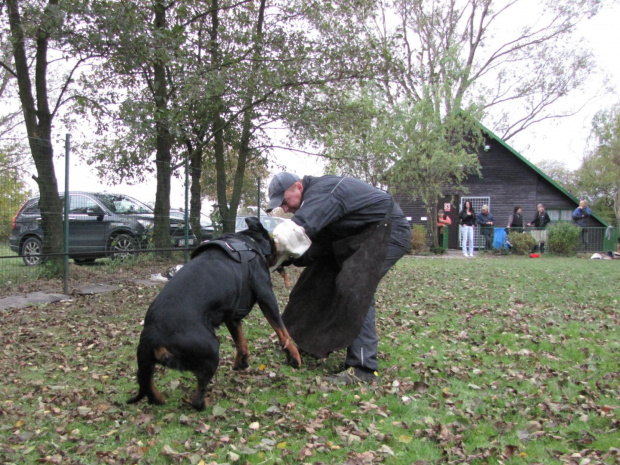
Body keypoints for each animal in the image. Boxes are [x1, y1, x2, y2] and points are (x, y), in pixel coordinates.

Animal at [127, 216, 302, 408]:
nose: (290, 261)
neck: (250, 242)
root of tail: (154, 337)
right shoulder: (266, 295)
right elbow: (282, 330)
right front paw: (294, 355)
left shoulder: (233, 316)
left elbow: (241, 342)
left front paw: (241, 362)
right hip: (212, 348)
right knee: (196, 399)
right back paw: (207, 402)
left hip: (146, 364)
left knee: (148, 386)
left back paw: (158, 398)